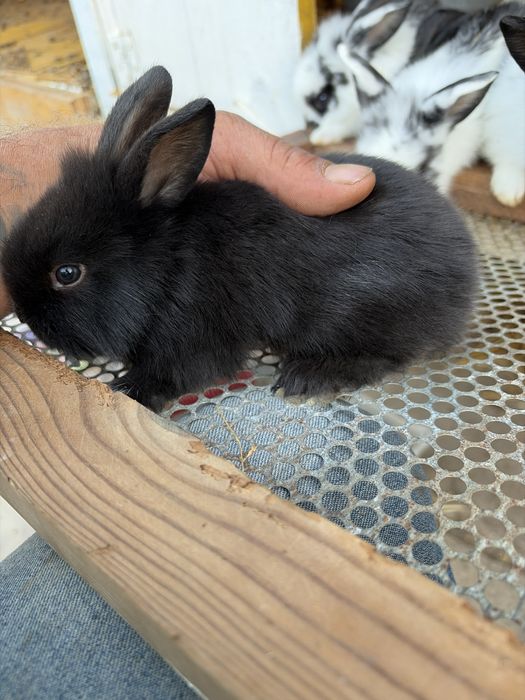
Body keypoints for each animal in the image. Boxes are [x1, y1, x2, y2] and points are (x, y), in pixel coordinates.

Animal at [1, 66, 478, 413]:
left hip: (358, 312)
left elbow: (174, 374)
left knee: (384, 357)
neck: (165, 268)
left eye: (67, 273)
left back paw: (308, 378)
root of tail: (465, 263)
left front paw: (129, 389)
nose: (24, 314)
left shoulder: (191, 338)